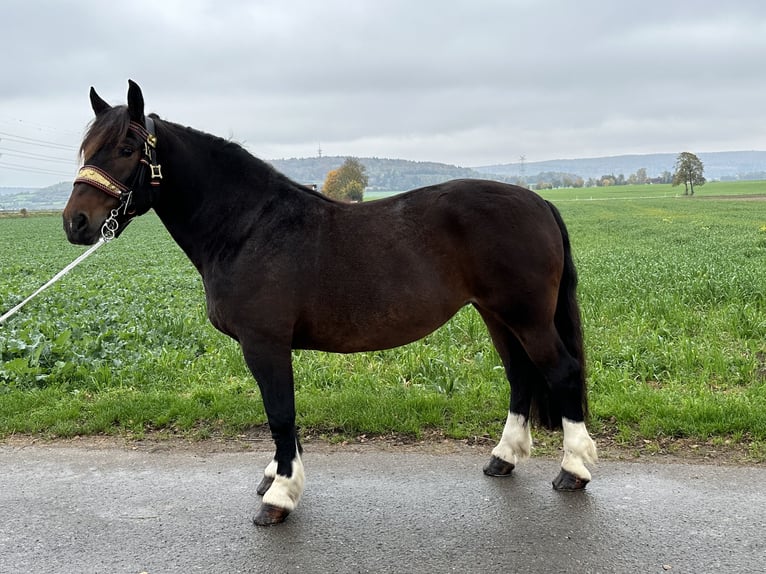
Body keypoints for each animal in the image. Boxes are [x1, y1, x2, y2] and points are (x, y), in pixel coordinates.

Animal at [63, 80, 596, 528]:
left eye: (126, 148)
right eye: (86, 149)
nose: (76, 223)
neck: (249, 227)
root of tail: (539, 202)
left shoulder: (265, 344)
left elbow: (280, 413)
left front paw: (279, 497)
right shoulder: (272, 347)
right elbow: (284, 417)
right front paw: (276, 476)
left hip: (527, 317)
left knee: (562, 372)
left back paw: (573, 470)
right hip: (496, 315)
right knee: (521, 375)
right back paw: (503, 459)